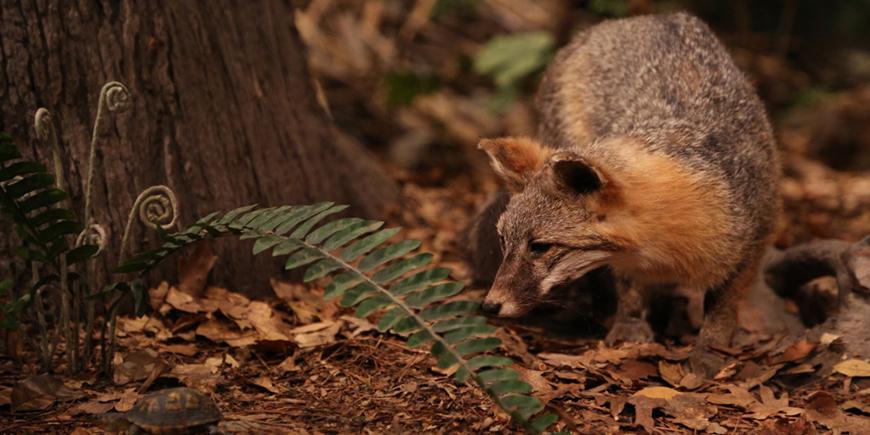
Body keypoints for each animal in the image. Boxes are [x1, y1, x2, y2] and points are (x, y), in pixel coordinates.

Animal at [476, 11, 784, 372]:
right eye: (503, 240)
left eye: (540, 247)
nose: (490, 305)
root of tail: (647, 17)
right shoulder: (624, 260)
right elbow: (628, 288)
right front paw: (631, 328)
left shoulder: (754, 239)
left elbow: (722, 307)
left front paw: (711, 350)